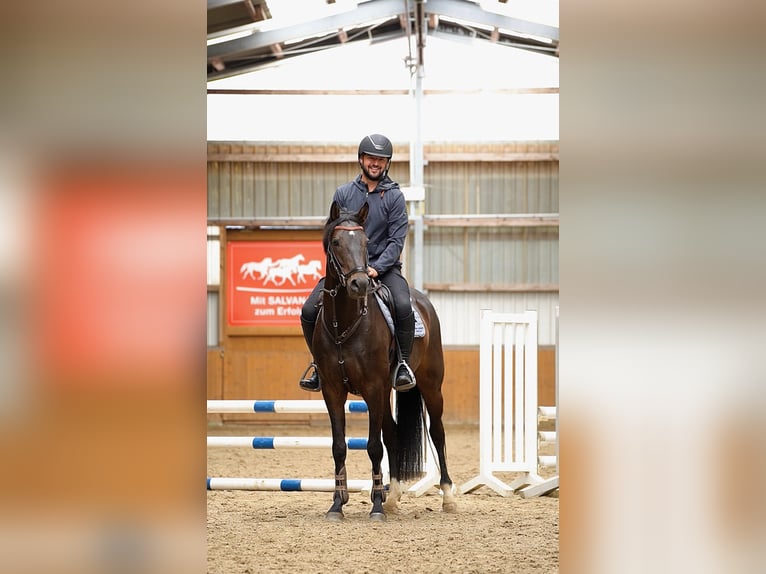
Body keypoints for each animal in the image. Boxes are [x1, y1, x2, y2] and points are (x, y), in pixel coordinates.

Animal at [312, 200, 456, 520]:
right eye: (336, 242)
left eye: (366, 242)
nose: (360, 283)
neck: (344, 324)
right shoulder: (333, 390)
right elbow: (339, 446)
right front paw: (337, 504)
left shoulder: (374, 387)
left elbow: (373, 446)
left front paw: (376, 505)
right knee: (393, 434)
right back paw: (394, 497)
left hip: (431, 386)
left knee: (437, 432)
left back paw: (448, 497)